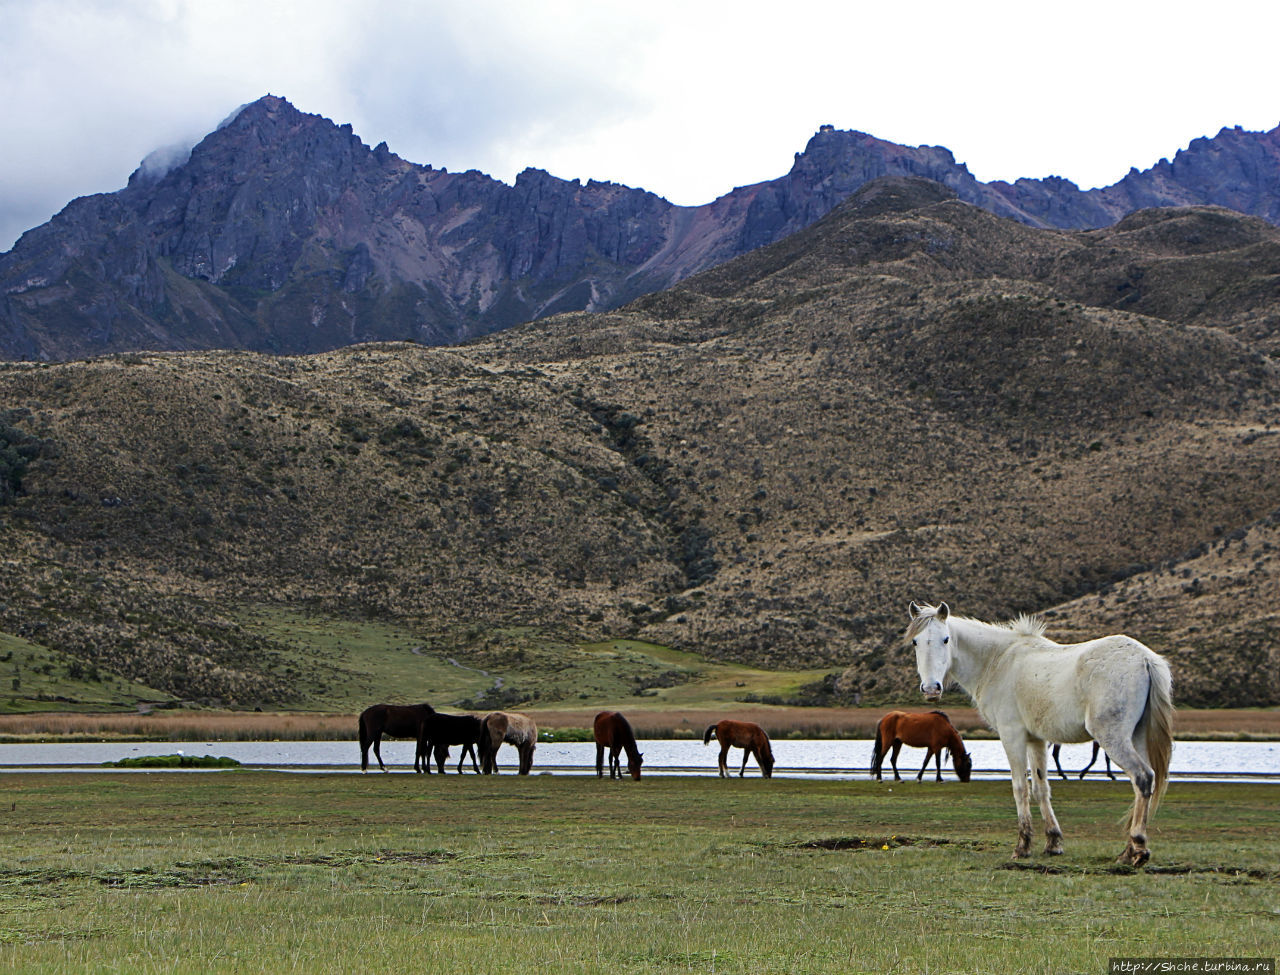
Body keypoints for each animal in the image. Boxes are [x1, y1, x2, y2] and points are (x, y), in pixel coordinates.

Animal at [911, 601, 1172, 864]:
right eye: (915, 641)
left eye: (945, 639)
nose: (931, 689)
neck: (997, 661)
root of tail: (1144, 659)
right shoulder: (1036, 739)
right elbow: (1040, 788)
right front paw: (1053, 843)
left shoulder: (1012, 735)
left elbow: (1020, 788)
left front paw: (1023, 846)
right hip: (1136, 737)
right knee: (1143, 783)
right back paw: (1130, 850)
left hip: (1113, 738)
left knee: (1142, 777)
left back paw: (1136, 849)